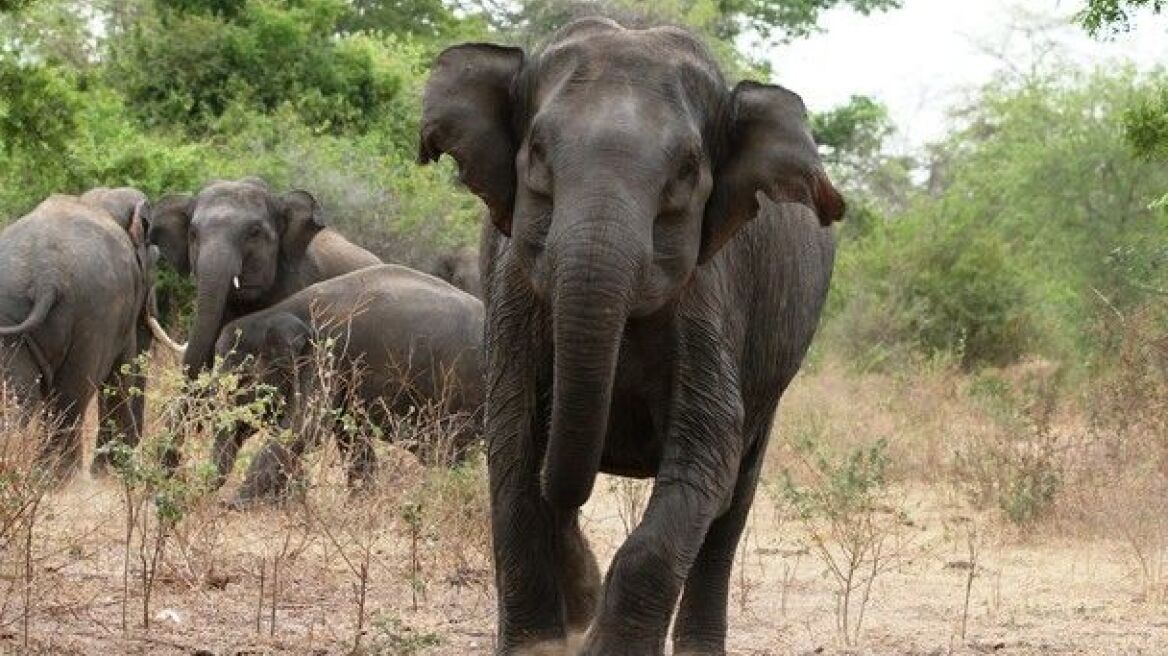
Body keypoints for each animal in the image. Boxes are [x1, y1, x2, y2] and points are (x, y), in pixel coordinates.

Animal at [0, 193, 155, 473]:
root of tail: (47, 276)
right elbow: (120, 373)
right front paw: (107, 472)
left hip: (11, 322)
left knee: (23, 398)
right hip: (93, 317)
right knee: (71, 396)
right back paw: (66, 477)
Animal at [210, 262, 483, 501]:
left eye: (241, 382)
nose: (211, 495)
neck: (279, 310)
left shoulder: (327, 354)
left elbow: (307, 427)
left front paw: (235, 504)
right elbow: (348, 433)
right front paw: (360, 501)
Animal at [420, 17, 850, 648]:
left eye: (688, 171)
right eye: (537, 154)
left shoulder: (711, 289)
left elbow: (708, 450)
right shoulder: (512, 284)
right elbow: (513, 442)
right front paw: (542, 644)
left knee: (735, 498)